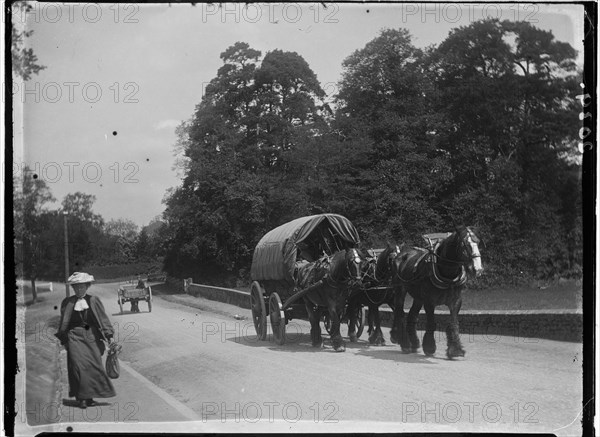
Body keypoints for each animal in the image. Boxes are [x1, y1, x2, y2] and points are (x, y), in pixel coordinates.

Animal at [390, 227, 482, 360]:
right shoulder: (429, 301)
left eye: (478, 242)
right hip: (400, 290)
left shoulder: (456, 301)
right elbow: (431, 323)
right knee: (400, 313)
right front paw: (429, 347)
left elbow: (454, 323)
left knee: (412, 316)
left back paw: (414, 343)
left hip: (418, 297)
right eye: (464, 244)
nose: (477, 269)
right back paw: (405, 344)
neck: (447, 273)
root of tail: (400, 254)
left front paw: (455, 350)